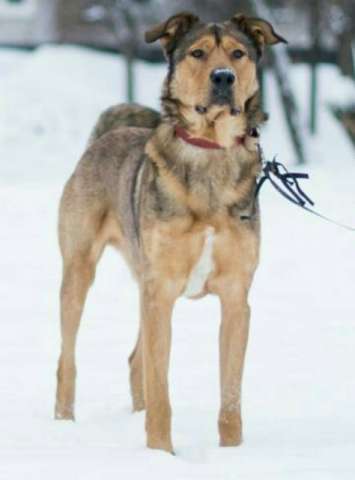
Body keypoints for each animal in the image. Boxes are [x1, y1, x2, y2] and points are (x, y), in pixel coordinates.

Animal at [55, 12, 286, 454]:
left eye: (238, 53)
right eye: (197, 53)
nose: (224, 77)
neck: (210, 150)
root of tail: (107, 135)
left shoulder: (235, 298)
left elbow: (231, 393)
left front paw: (232, 454)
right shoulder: (161, 291)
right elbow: (161, 388)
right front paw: (162, 454)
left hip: (142, 281)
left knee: (134, 360)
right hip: (80, 269)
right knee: (69, 356)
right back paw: (63, 422)